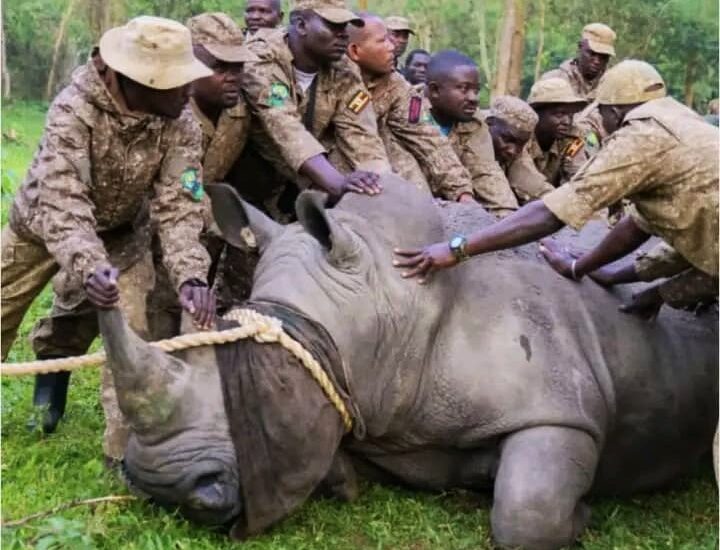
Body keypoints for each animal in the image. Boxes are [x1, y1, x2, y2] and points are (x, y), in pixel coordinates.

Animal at [99, 175, 718, 549]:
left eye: (268, 382)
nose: (161, 486)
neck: (392, 303)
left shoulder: (562, 410)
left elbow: (526, 513)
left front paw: (582, 517)